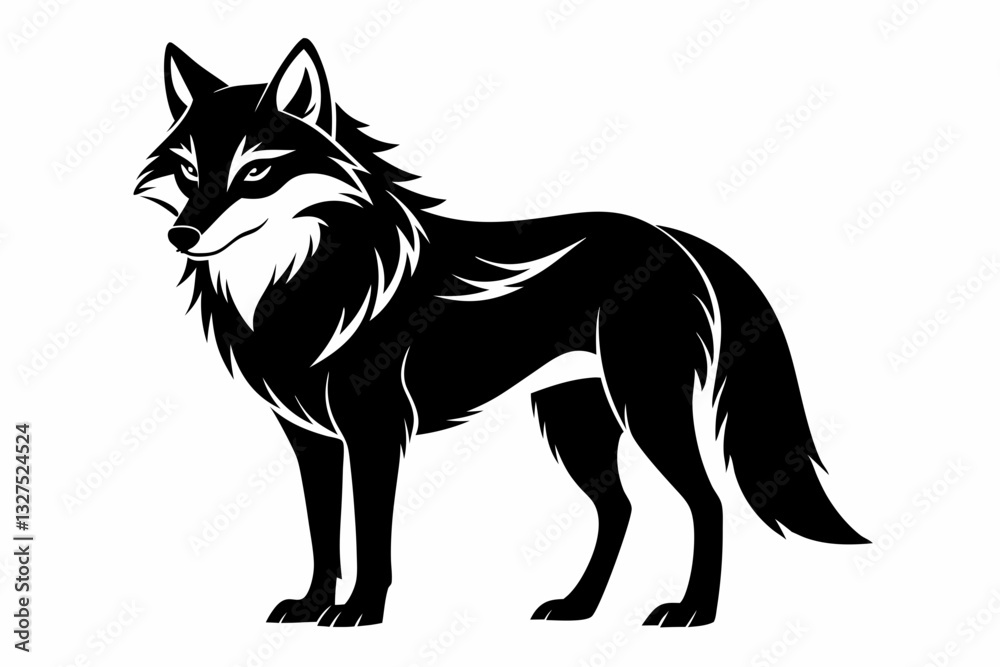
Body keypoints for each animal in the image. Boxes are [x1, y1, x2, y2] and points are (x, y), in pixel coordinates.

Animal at [135, 39, 867, 627]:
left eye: (256, 172)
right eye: (189, 172)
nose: (181, 235)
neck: (301, 283)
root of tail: (673, 238)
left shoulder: (375, 434)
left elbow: (370, 537)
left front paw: (359, 612)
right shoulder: (312, 441)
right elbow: (323, 536)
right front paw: (313, 605)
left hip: (646, 409)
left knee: (706, 503)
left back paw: (692, 612)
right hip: (577, 421)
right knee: (620, 510)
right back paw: (577, 606)